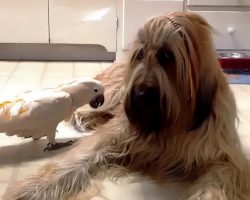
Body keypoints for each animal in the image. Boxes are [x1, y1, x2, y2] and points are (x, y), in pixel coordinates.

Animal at [3, 11, 250, 199]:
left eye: (166, 56)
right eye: (140, 54)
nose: (139, 94)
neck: (170, 123)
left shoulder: (224, 158)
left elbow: (219, 180)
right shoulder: (118, 133)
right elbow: (77, 158)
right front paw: (28, 189)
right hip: (113, 92)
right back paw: (85, 119)